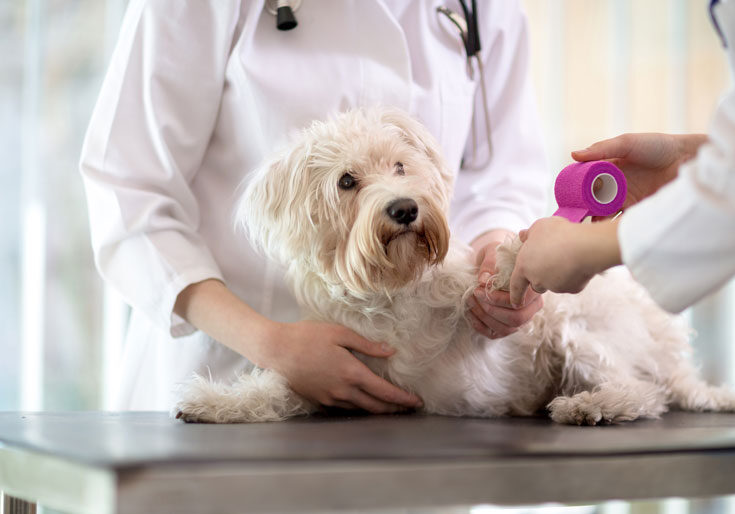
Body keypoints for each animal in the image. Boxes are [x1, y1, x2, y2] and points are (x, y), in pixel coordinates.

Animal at [175, 106, 735, 422]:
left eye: (400, 165)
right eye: (347, 181)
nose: (404, 208)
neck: (392, 289)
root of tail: (670, 351)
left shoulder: (491, 320)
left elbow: (488, 291)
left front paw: (513, 256)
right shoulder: (337, 373)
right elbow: (274, 388)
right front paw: (215, 403)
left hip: (578, 330)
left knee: (644, 391)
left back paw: (590, 405)